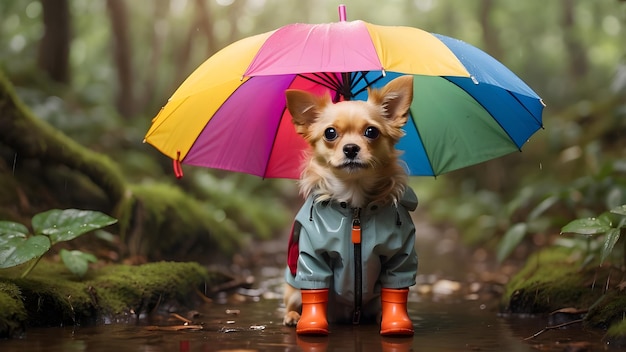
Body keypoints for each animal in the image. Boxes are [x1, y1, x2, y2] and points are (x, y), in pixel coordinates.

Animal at [280, 75, 416, 336]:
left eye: (371, 131)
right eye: (330, 133)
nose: (351, 148)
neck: (355, 207)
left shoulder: (399, 255)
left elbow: (396, 288)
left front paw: (396, 322)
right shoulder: (312, 257)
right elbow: (315, 287)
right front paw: (312, 324)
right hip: (292, 287)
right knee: (296, 298)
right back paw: (293, 316)